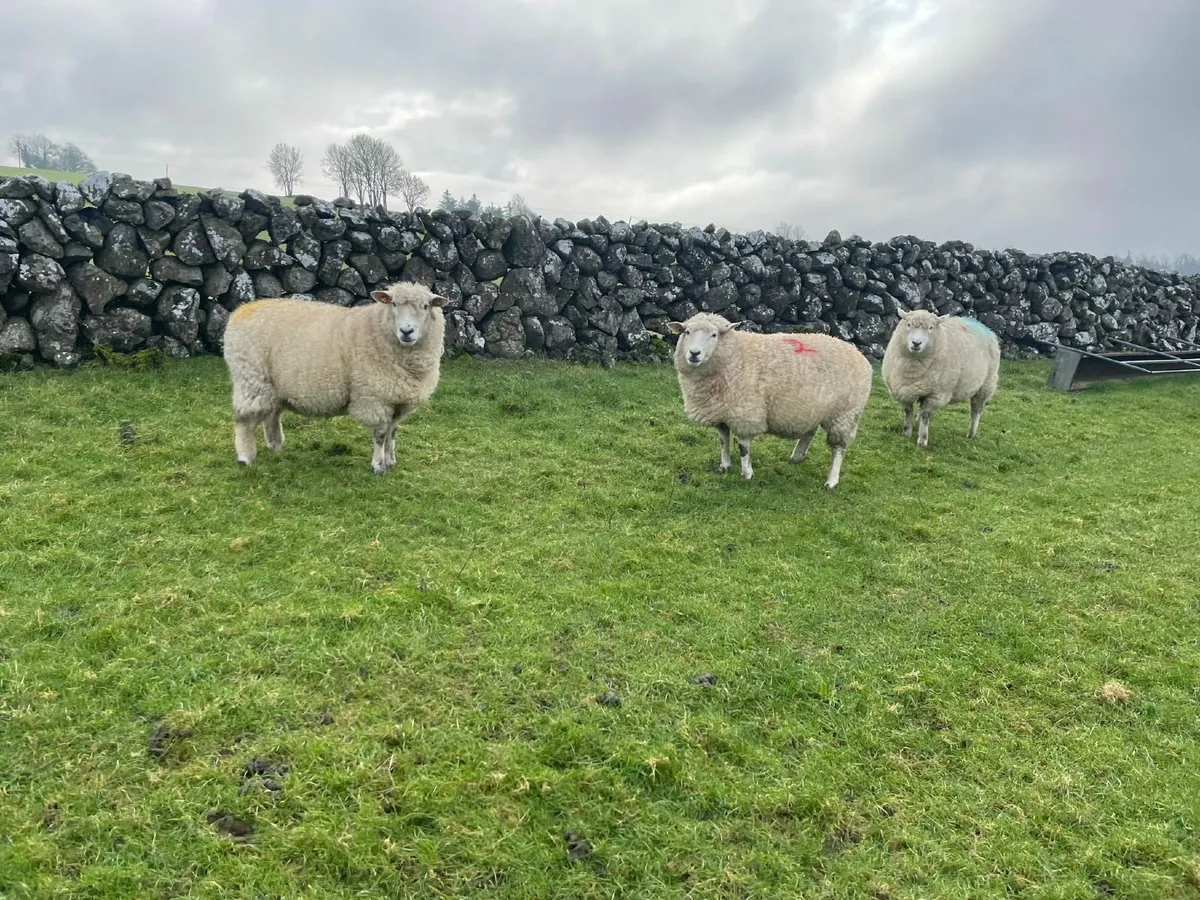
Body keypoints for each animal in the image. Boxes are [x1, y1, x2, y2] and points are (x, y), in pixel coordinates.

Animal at [222, 282, 448, 474]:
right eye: (393, 303)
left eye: (426, 306)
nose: (406, 331)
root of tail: (240, 311)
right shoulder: (374, 398)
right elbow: (380, 435)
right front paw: (378, 466)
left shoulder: (398, 399)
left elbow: (393, 432)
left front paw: (391, 461)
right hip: (252, 379)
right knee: (244, 421)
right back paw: (245, 457)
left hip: (274, 386)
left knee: (272, 415)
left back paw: (276, 446)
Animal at [665, 313, 873, 488]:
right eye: (687, 332)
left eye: (714, 335)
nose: (694, 353)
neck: (735, 357)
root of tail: (859, 354)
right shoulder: (722, 412)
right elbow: (723, 441)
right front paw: (724, 466)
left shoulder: (745, 413)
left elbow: (743, 448)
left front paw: (747, 473)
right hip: (814, 408)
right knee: (809, 432)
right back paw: (797, 457)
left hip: (845, 414)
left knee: (838, 449)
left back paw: (832, 481)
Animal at [881, 309, 1000, 449]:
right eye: (908, 324)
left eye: (931, 328)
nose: (916, 343)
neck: (914, 365)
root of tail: (982, 325)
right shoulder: (902, 390)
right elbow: (908, 412)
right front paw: (906, 433)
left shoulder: (935, 395)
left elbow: (925, 415)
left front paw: (922, 440)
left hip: (986, 385)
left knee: (976, 411)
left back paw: (971, 433)